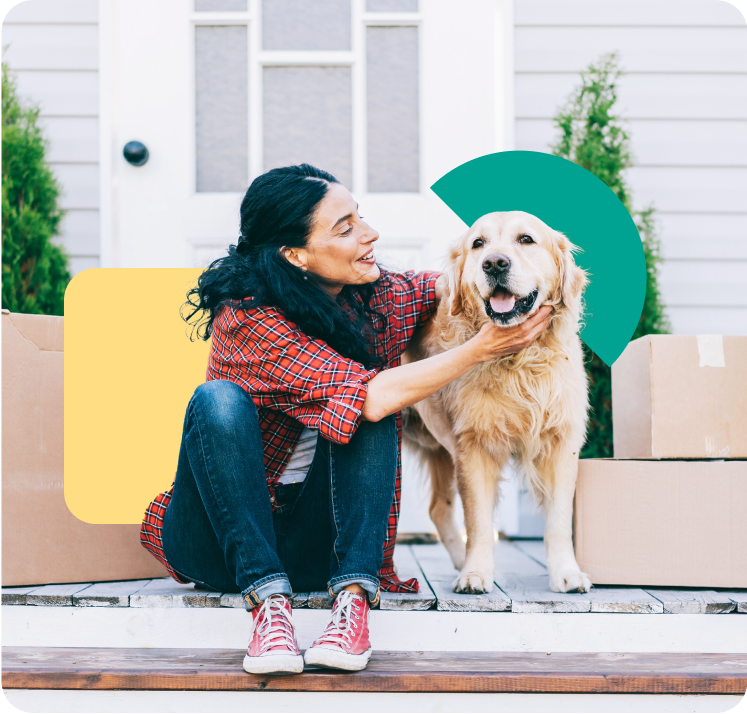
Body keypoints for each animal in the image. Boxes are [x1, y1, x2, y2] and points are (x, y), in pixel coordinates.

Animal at [406, 209, 592, 592]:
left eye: (526, 239)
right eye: (478, 243)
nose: (494, 263)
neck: (518, 362)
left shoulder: (562, 442)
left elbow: (559, 519)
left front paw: (566, 573)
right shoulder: (472, 446)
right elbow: (478, 521)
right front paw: (476, 573)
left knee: (438, 508)